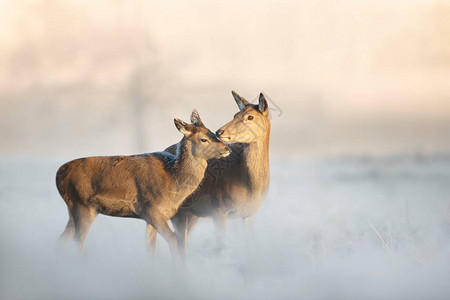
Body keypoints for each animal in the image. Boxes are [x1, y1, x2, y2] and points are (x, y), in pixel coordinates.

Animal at [55, 110, 232, 260]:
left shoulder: (150, 216)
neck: (173, 184)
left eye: (212, 133)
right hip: (82, 204)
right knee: (78, 242)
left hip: (75, 208)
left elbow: (150, 248)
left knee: (62, 239)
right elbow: (174, 240)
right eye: (204, 139)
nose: (227, 148)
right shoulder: (151, 209)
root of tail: (58, 175)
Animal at [160, 91, 268, 253]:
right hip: (178, 211)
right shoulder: (219, 209)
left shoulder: (251, 213)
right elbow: (220, 246)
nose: (219, 131)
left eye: (250, 117)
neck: (251, 187)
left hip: (192, 214)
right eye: (235, 114)